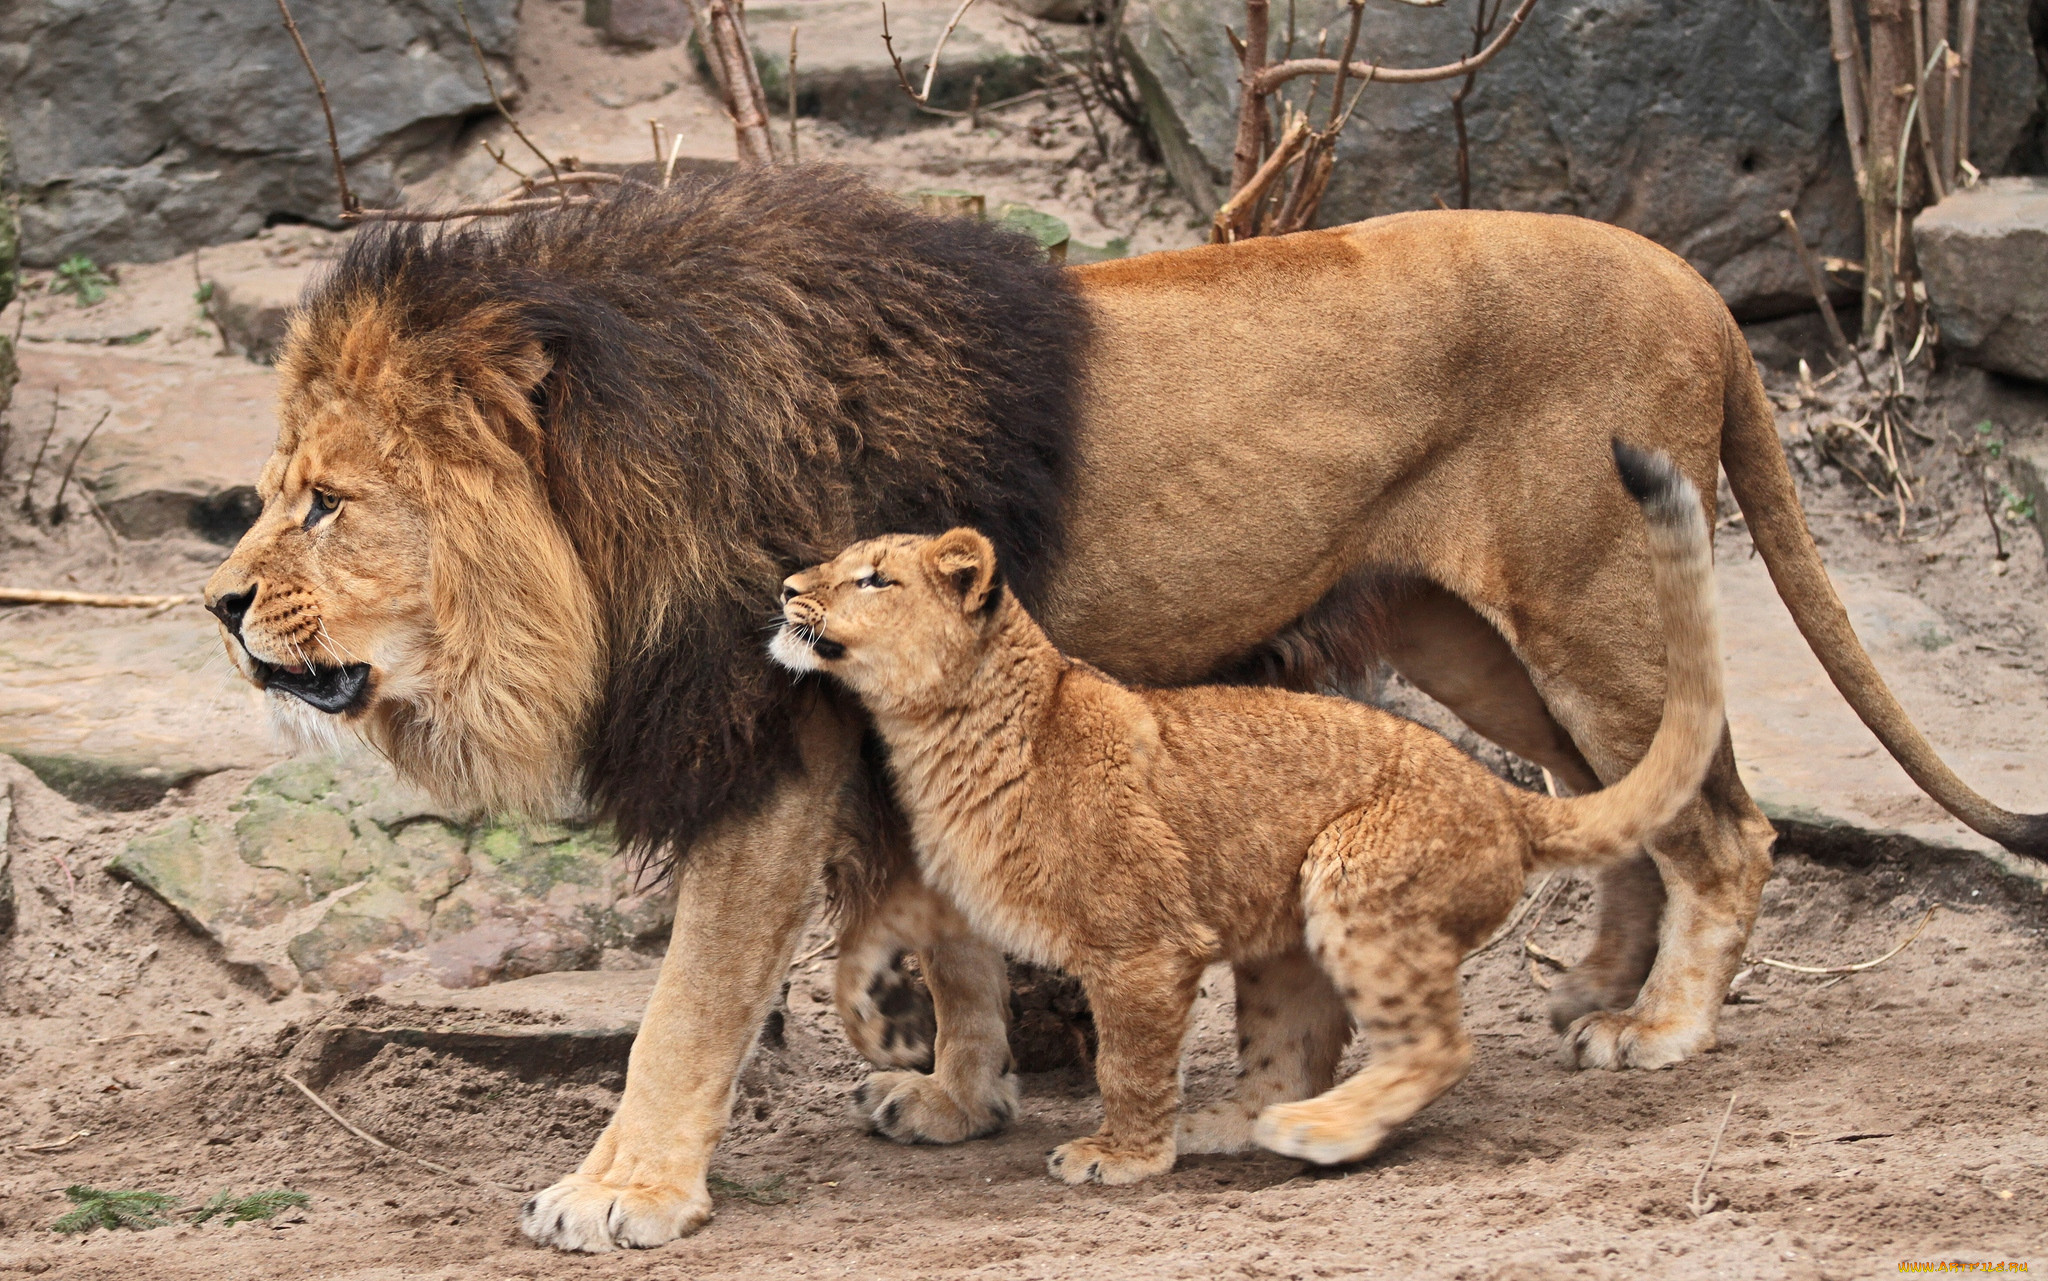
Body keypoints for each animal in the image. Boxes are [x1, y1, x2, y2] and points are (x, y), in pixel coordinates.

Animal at [199, 161, 2039, 1246]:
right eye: (271, 494)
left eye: (328, 505)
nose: (216, 606)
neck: (610, 504)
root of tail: (1699, 289)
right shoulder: (889, 731)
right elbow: (949, 932)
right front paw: (961, 1097)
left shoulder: (771, 745)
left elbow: (693, 1000)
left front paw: (619, 1193)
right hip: (1476, 635)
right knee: (1624, 808)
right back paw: (1595, 995)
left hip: (1590, 601)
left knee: (1724, 823)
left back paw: (1658, 1031)